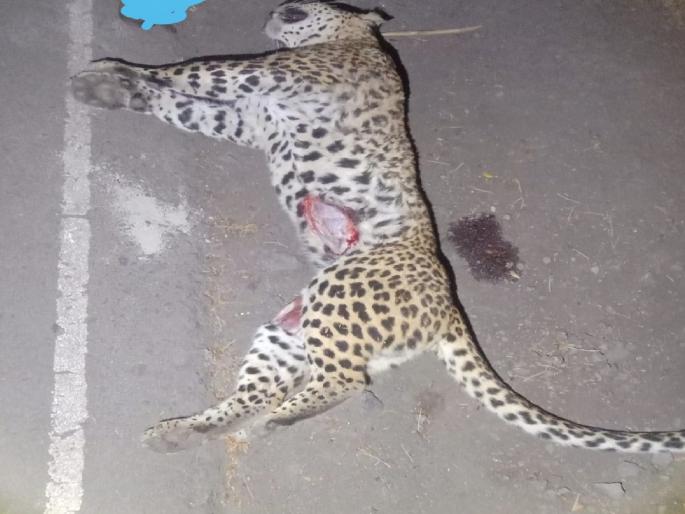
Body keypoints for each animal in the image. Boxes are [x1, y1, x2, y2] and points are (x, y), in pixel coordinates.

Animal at [71, 0, 685, 454]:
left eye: (297, 6)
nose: (270, 12)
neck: (356, 38)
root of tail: (448, 305)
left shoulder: (260, 72)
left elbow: (187, 72)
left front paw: (108, 75)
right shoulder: (244, 116)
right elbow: (179, 102)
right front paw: (112, 87)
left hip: (336, 297)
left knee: (348, 381)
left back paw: (267, 424)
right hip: (291, 328)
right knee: (271, 388)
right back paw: (184, 432)